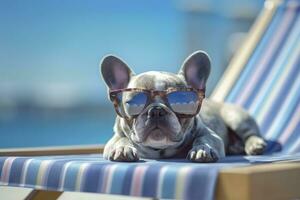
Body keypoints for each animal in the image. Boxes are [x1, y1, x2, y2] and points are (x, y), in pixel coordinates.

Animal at [99, 50, 266, 162]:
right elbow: (121, 140)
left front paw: (202, 149)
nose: (156, 111)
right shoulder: (113, 139)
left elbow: (204, 139)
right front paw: (123, 148)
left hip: (235, 117)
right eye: (133, 103)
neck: (160, 149)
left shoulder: (212, 136)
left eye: (182, 102)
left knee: (250, 133)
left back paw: (254, 144)